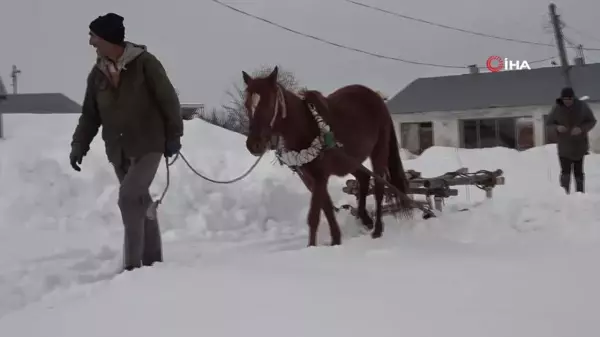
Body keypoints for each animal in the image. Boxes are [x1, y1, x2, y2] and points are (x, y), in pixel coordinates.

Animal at [241, 65, 410, 245]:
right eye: (246, 104)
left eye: (269, 103)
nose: (254, 144)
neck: (306, 127)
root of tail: (376, 97)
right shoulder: (310, 178)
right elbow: (327, 207)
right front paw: (336, 239)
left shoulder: (320, 176)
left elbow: (314, 216)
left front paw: (312, 246)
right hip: (350, 160)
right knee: (363, 179)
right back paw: (365, 219)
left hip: (378, 151)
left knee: (378, 187)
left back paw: (377, 229)